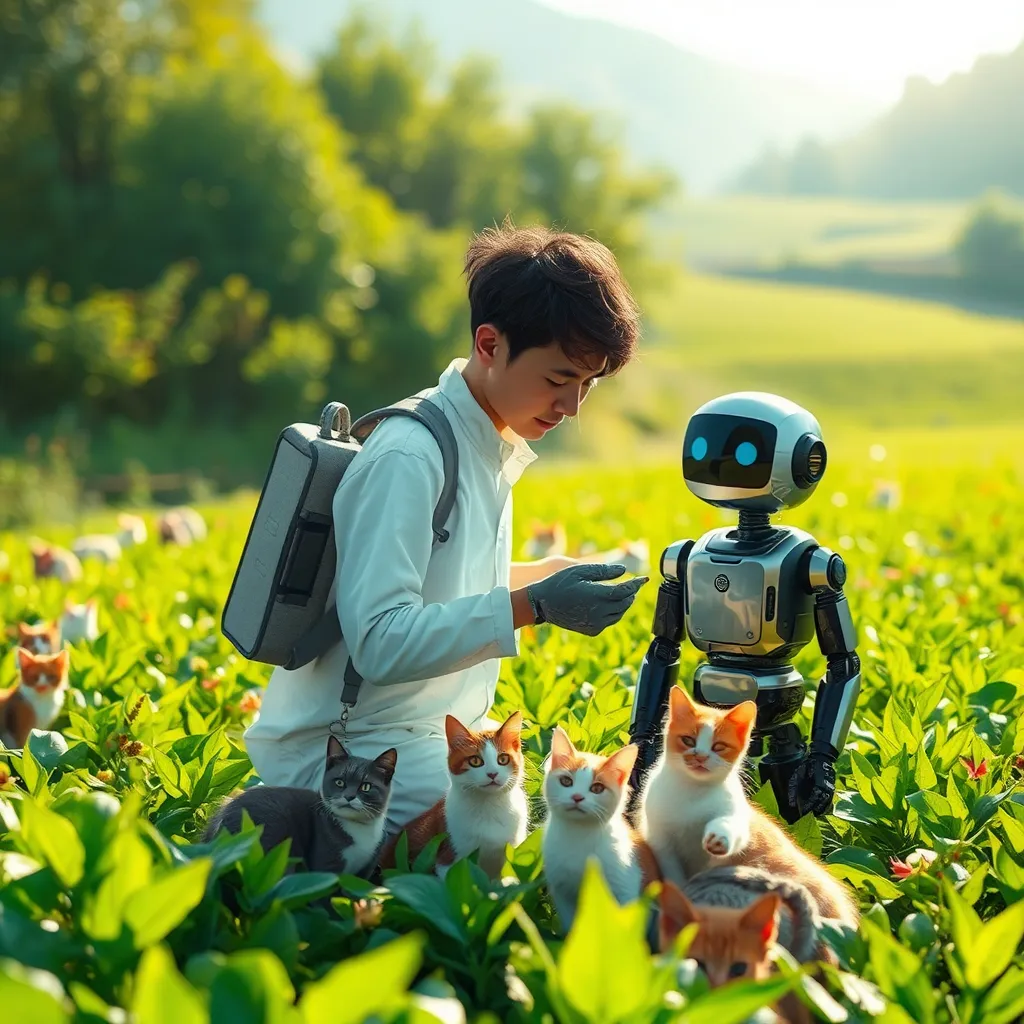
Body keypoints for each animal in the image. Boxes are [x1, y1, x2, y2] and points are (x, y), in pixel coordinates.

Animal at [202, 733, 395, 876]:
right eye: (339, 782)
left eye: (366, 786)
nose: (349, 796)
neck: (360, 829)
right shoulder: (325, 867)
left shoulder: (366, 869)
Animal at [540, 724, 659, 933]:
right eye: (566, 781)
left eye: (597, 788)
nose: (577, 797)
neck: (578, 835)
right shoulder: (563, 892)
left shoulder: (625, 888)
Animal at [643, 688, 860, 929]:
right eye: (688, 740)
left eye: (718, 746)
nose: (700, 756)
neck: (692, 790)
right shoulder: (661, 841)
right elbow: (673, 874)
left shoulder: (736, 816)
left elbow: (732, 831)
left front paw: (719, 838)